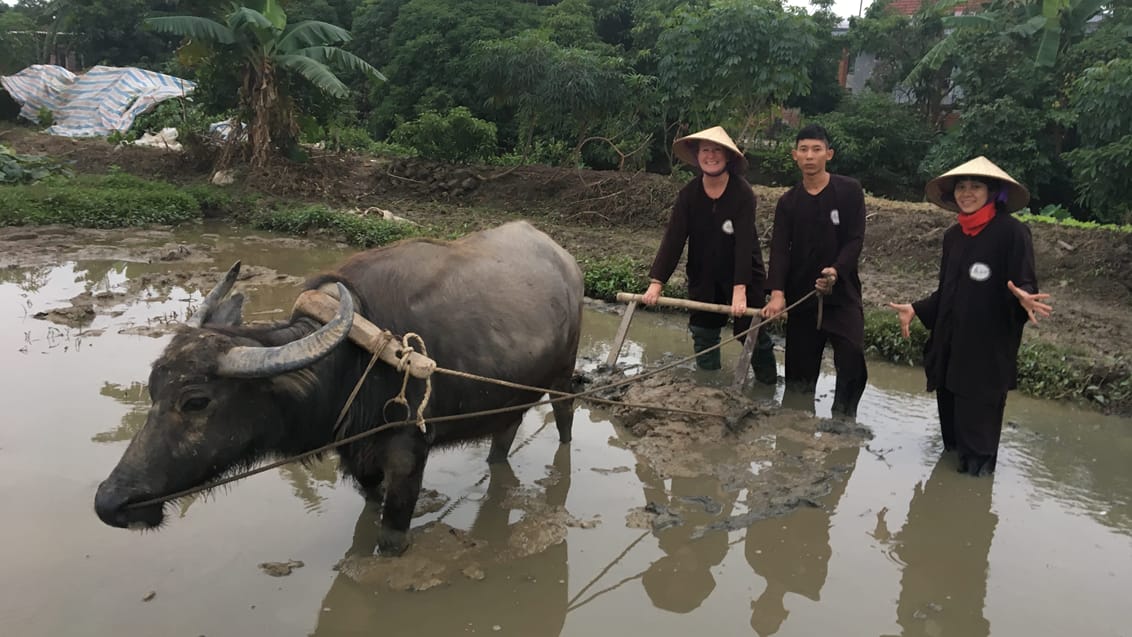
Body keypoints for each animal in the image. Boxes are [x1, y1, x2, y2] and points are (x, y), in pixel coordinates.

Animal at [95, 221, 584, 556]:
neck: (353, 362)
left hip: (563, 376)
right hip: (511, 394)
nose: (109, 502)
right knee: (505, 433)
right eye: (153, 390)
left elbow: (391, 537)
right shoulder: (357, 456)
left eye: (196, 401)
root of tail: (566, 261)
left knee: (564, 415)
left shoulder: (409, 453)